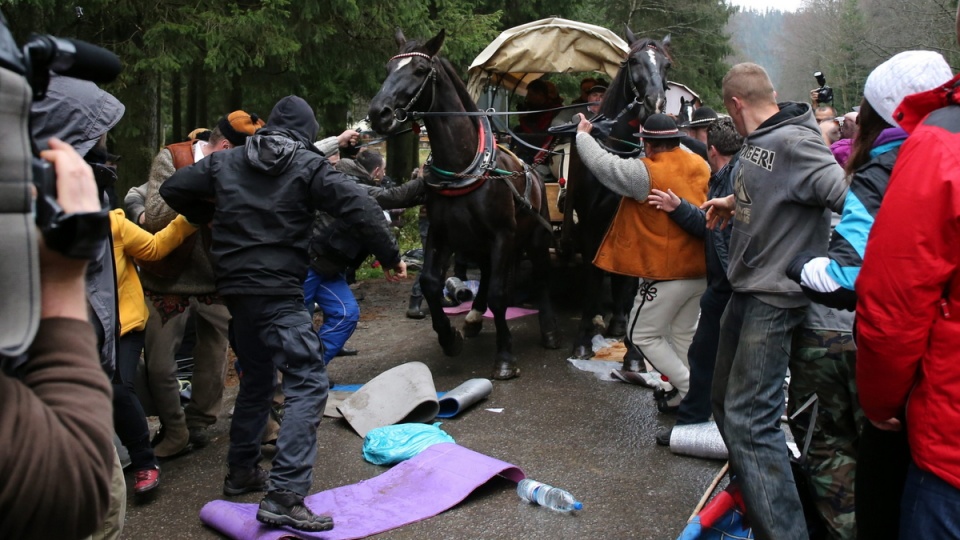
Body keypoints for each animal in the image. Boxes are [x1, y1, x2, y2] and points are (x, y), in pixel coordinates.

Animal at [370, 28, 564, 380]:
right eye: (388, 68)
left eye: (420, 70)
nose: (379, 113)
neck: (462, 166)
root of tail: (532, 169)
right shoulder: (441, 234)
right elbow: (430, 282)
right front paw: (449, 338)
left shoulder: (502, 235)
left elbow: (500, 295)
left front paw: (505, 357)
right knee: (486, 275)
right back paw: (473, 318)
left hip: (535, 236)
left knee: (541, 275)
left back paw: (549, 331)